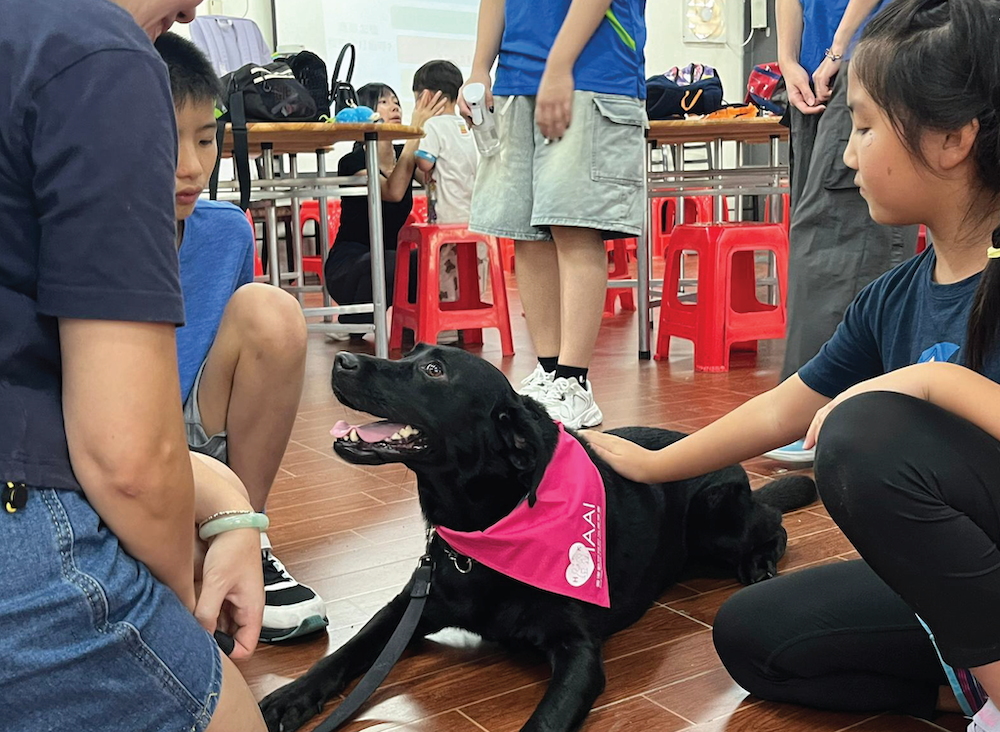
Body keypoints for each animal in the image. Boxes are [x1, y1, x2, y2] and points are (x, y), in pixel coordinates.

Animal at [258, 344, 812, 732]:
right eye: (410, 352)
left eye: (433, 371)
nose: (341, 360)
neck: (483, 533)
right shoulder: (408, 607)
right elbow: (346, 652)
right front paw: (288, 698)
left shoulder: (579, 653)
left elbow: (544, 720)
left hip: (716, 520)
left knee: (773, 518)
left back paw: (760, 561)